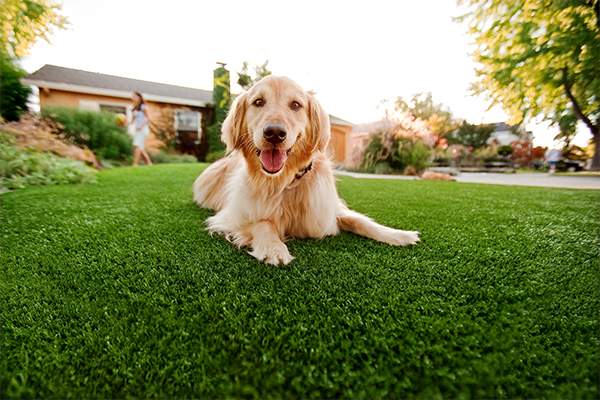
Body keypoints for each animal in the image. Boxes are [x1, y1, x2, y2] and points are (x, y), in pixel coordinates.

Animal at [192, 76, 418, 266]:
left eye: (295, 105)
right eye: (258, 102)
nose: (275, 133)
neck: (285, 181)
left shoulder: (327, 209)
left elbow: (359, 220)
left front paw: (398, 235)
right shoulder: (232, 215)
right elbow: (264, 222)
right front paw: (273, 248)